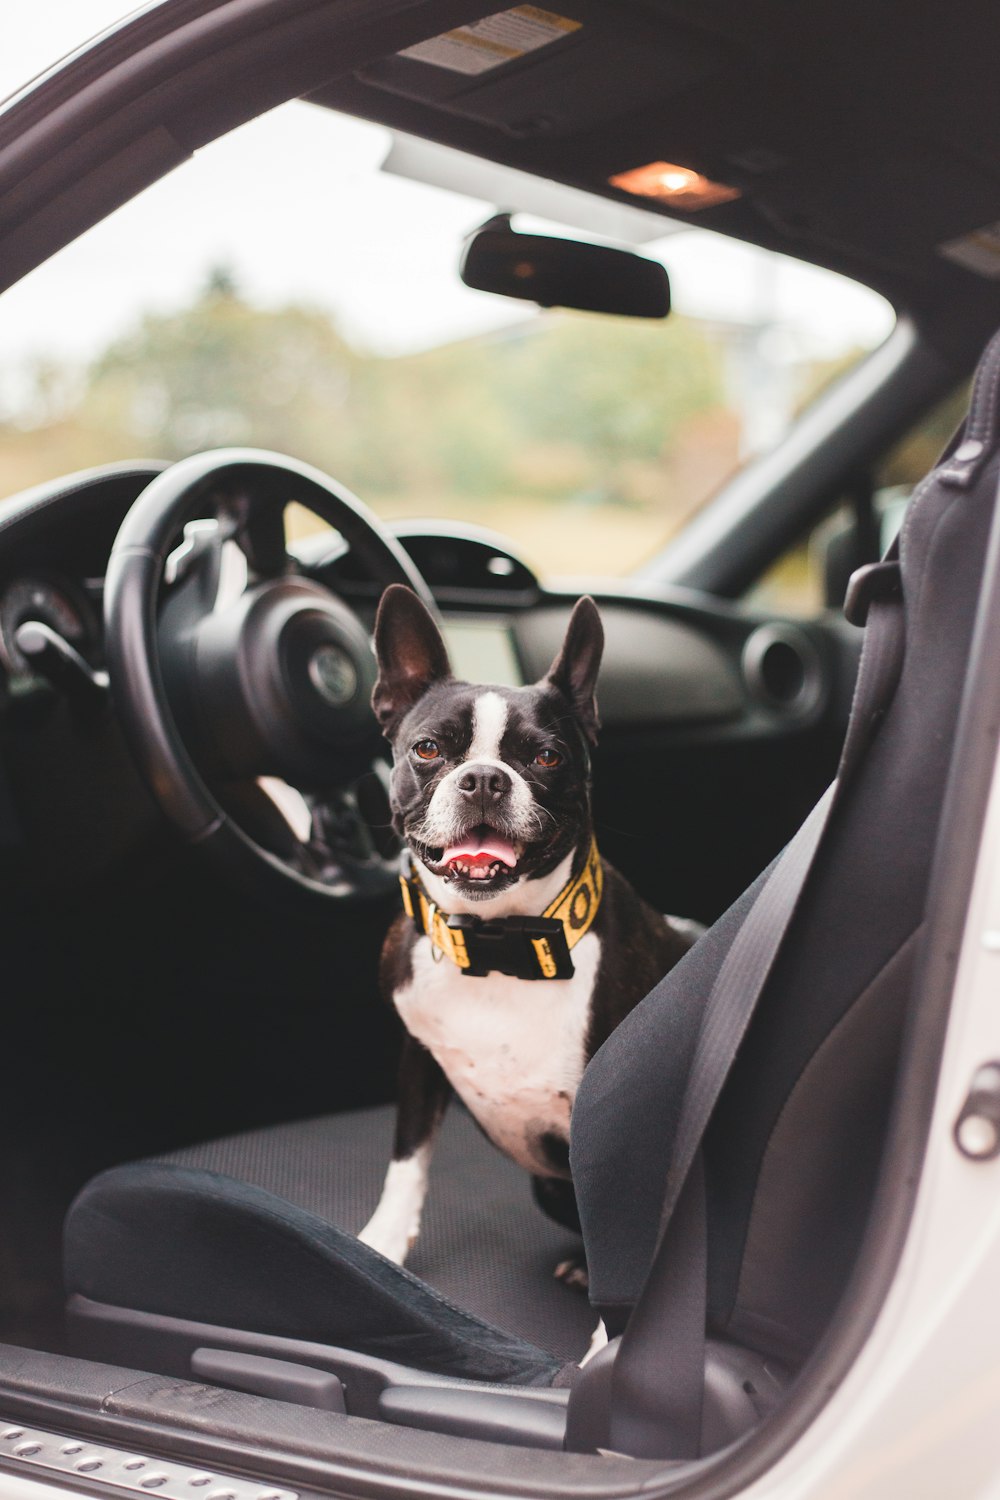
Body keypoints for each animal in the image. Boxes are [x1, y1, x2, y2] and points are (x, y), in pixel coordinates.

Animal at [359, 585, 695, 1278]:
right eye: (427, 749)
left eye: (547, 756)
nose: (484, 778)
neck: (497, 942)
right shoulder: (416, 1056)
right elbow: (407, 1159)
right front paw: (382, 1242)